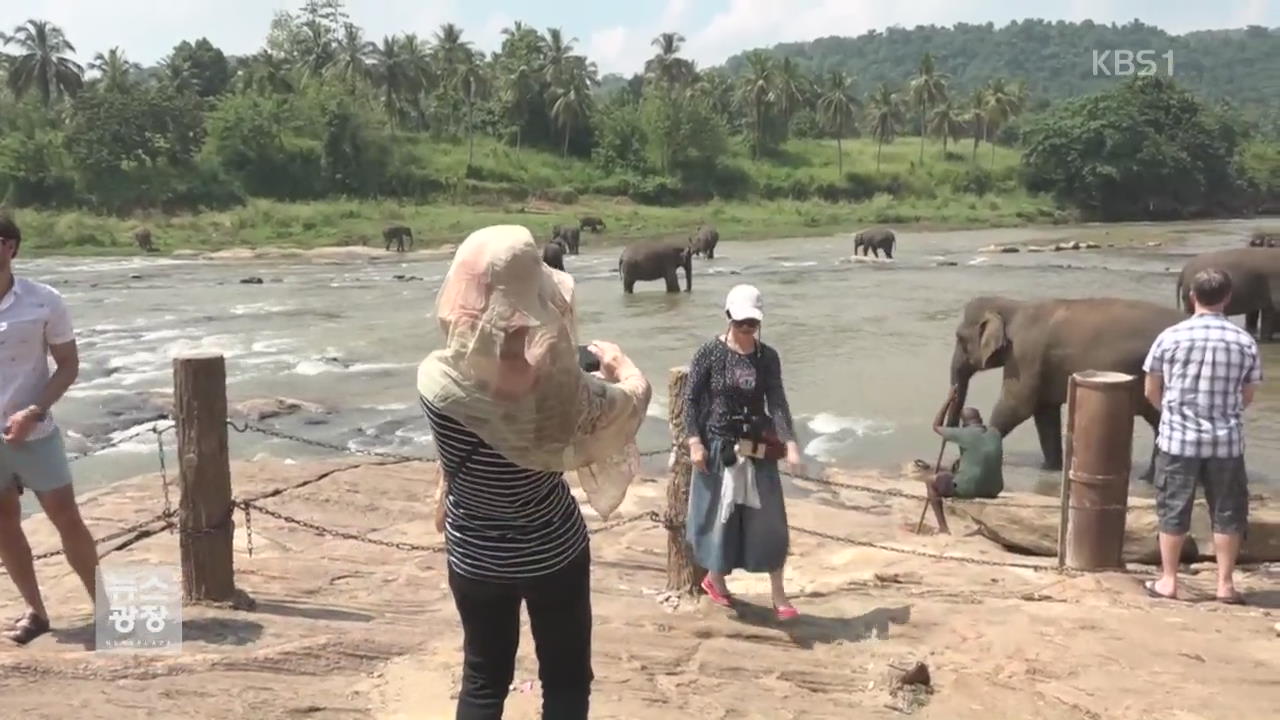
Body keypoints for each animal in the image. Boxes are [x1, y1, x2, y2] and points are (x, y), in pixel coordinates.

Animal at [952, 293, 1177, 476]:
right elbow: (1044, 412)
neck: (1013, 306)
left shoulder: (1024, 355)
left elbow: (1016, 406)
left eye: (959, 338)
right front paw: (1049, 468)